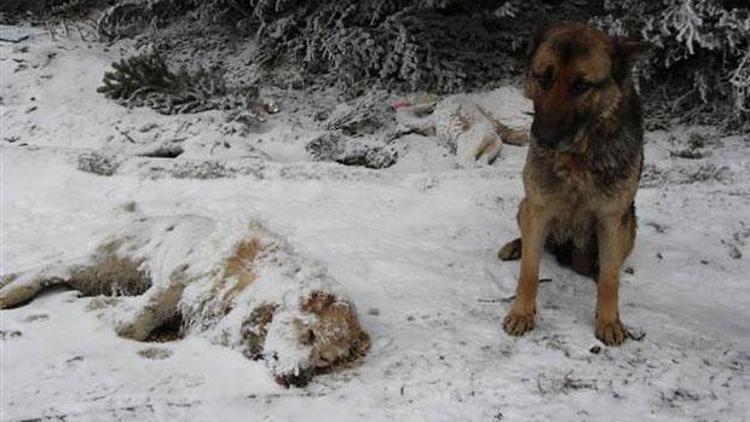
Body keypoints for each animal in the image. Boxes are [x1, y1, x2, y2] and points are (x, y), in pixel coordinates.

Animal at [0, 214, 370, 386]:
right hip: (103, 264)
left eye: (323, 359)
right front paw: (121, 321)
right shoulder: (183, 279)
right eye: (308, 335)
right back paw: (9, 291)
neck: (257, 278)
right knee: (48, 267)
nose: (297, 377)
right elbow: (143, 316)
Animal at [500, 21, 648, 346]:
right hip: (525, 205)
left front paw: (608, 320)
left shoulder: (611, 219)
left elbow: (609, 280)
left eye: (581, 86)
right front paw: (522, 313)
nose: (542, 138)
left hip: (629, 224)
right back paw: (515, 246)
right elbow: (529, 271)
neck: (577, 156)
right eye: (544, 78)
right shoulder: (539, 209)